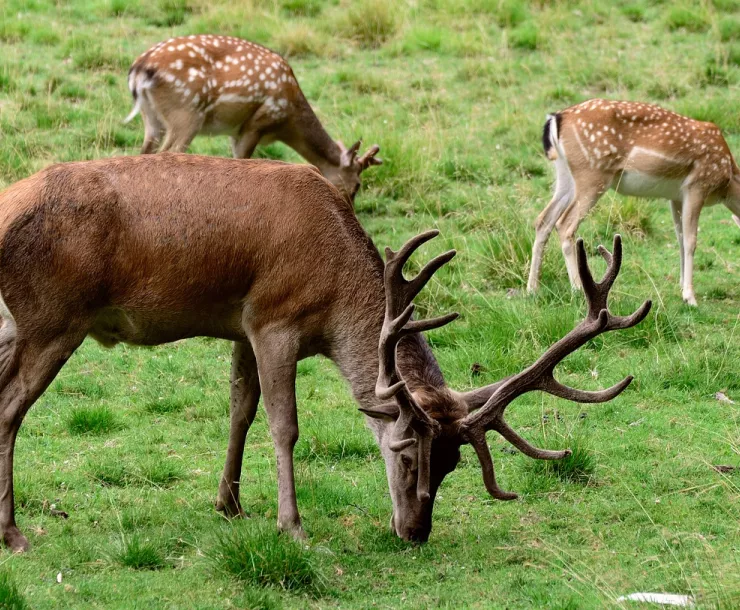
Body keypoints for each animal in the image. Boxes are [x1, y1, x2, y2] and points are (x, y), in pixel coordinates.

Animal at [0, 152, 650, 552]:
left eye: (452, 466)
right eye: (407, 458)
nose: (415, 532)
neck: (335, 294)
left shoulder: (241, 326)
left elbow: (239, 410)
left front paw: (230, 505)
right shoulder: (274, 319)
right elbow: (283, 425)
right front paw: (292, 526)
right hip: (53, 319)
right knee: (10, 408)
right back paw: (14, 533)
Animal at [124, 34, 381, 202]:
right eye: (357, 185)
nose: (348, 209)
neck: (287, 120)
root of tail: (139, 70)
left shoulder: (235, 131)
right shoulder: (256, 123)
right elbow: (243, 161)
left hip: (152, 118)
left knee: (144, 151)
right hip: (186, 113)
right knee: (167, 152)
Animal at [527, 98, 740, 306]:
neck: (728, 180)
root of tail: (556, 118)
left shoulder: (676, 197)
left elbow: (679, 237)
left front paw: (681, 287)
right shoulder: (697, 186)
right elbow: (690, 240)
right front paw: (690, 297)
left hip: (565, 175)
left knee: (543, 220)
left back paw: (532, 289)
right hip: (592, 174)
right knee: (564, 223)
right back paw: (578, 289)